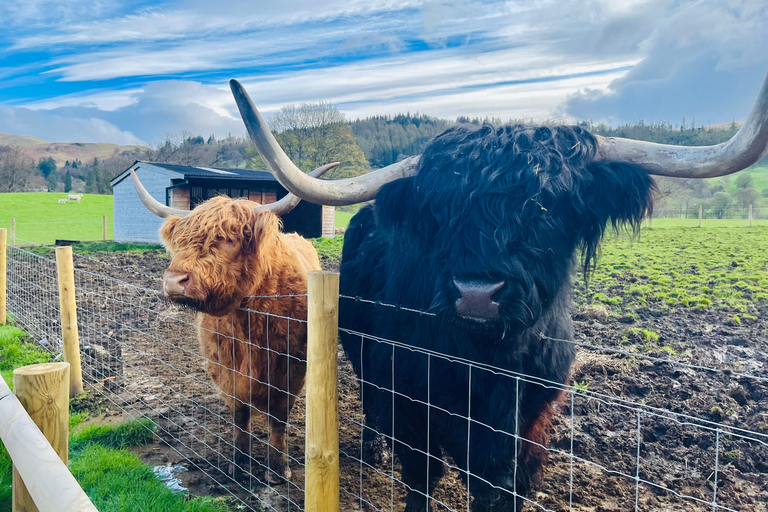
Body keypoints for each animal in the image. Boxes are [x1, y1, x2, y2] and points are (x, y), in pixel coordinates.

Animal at [230, 74, 768, 510]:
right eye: (439, 210)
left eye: (548, 204)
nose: (476, 293)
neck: (488, 364)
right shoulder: (414, 405)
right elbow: (422, 477)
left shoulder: (530, 422)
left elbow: (501, 489)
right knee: (372, 404)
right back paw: (372, 448)